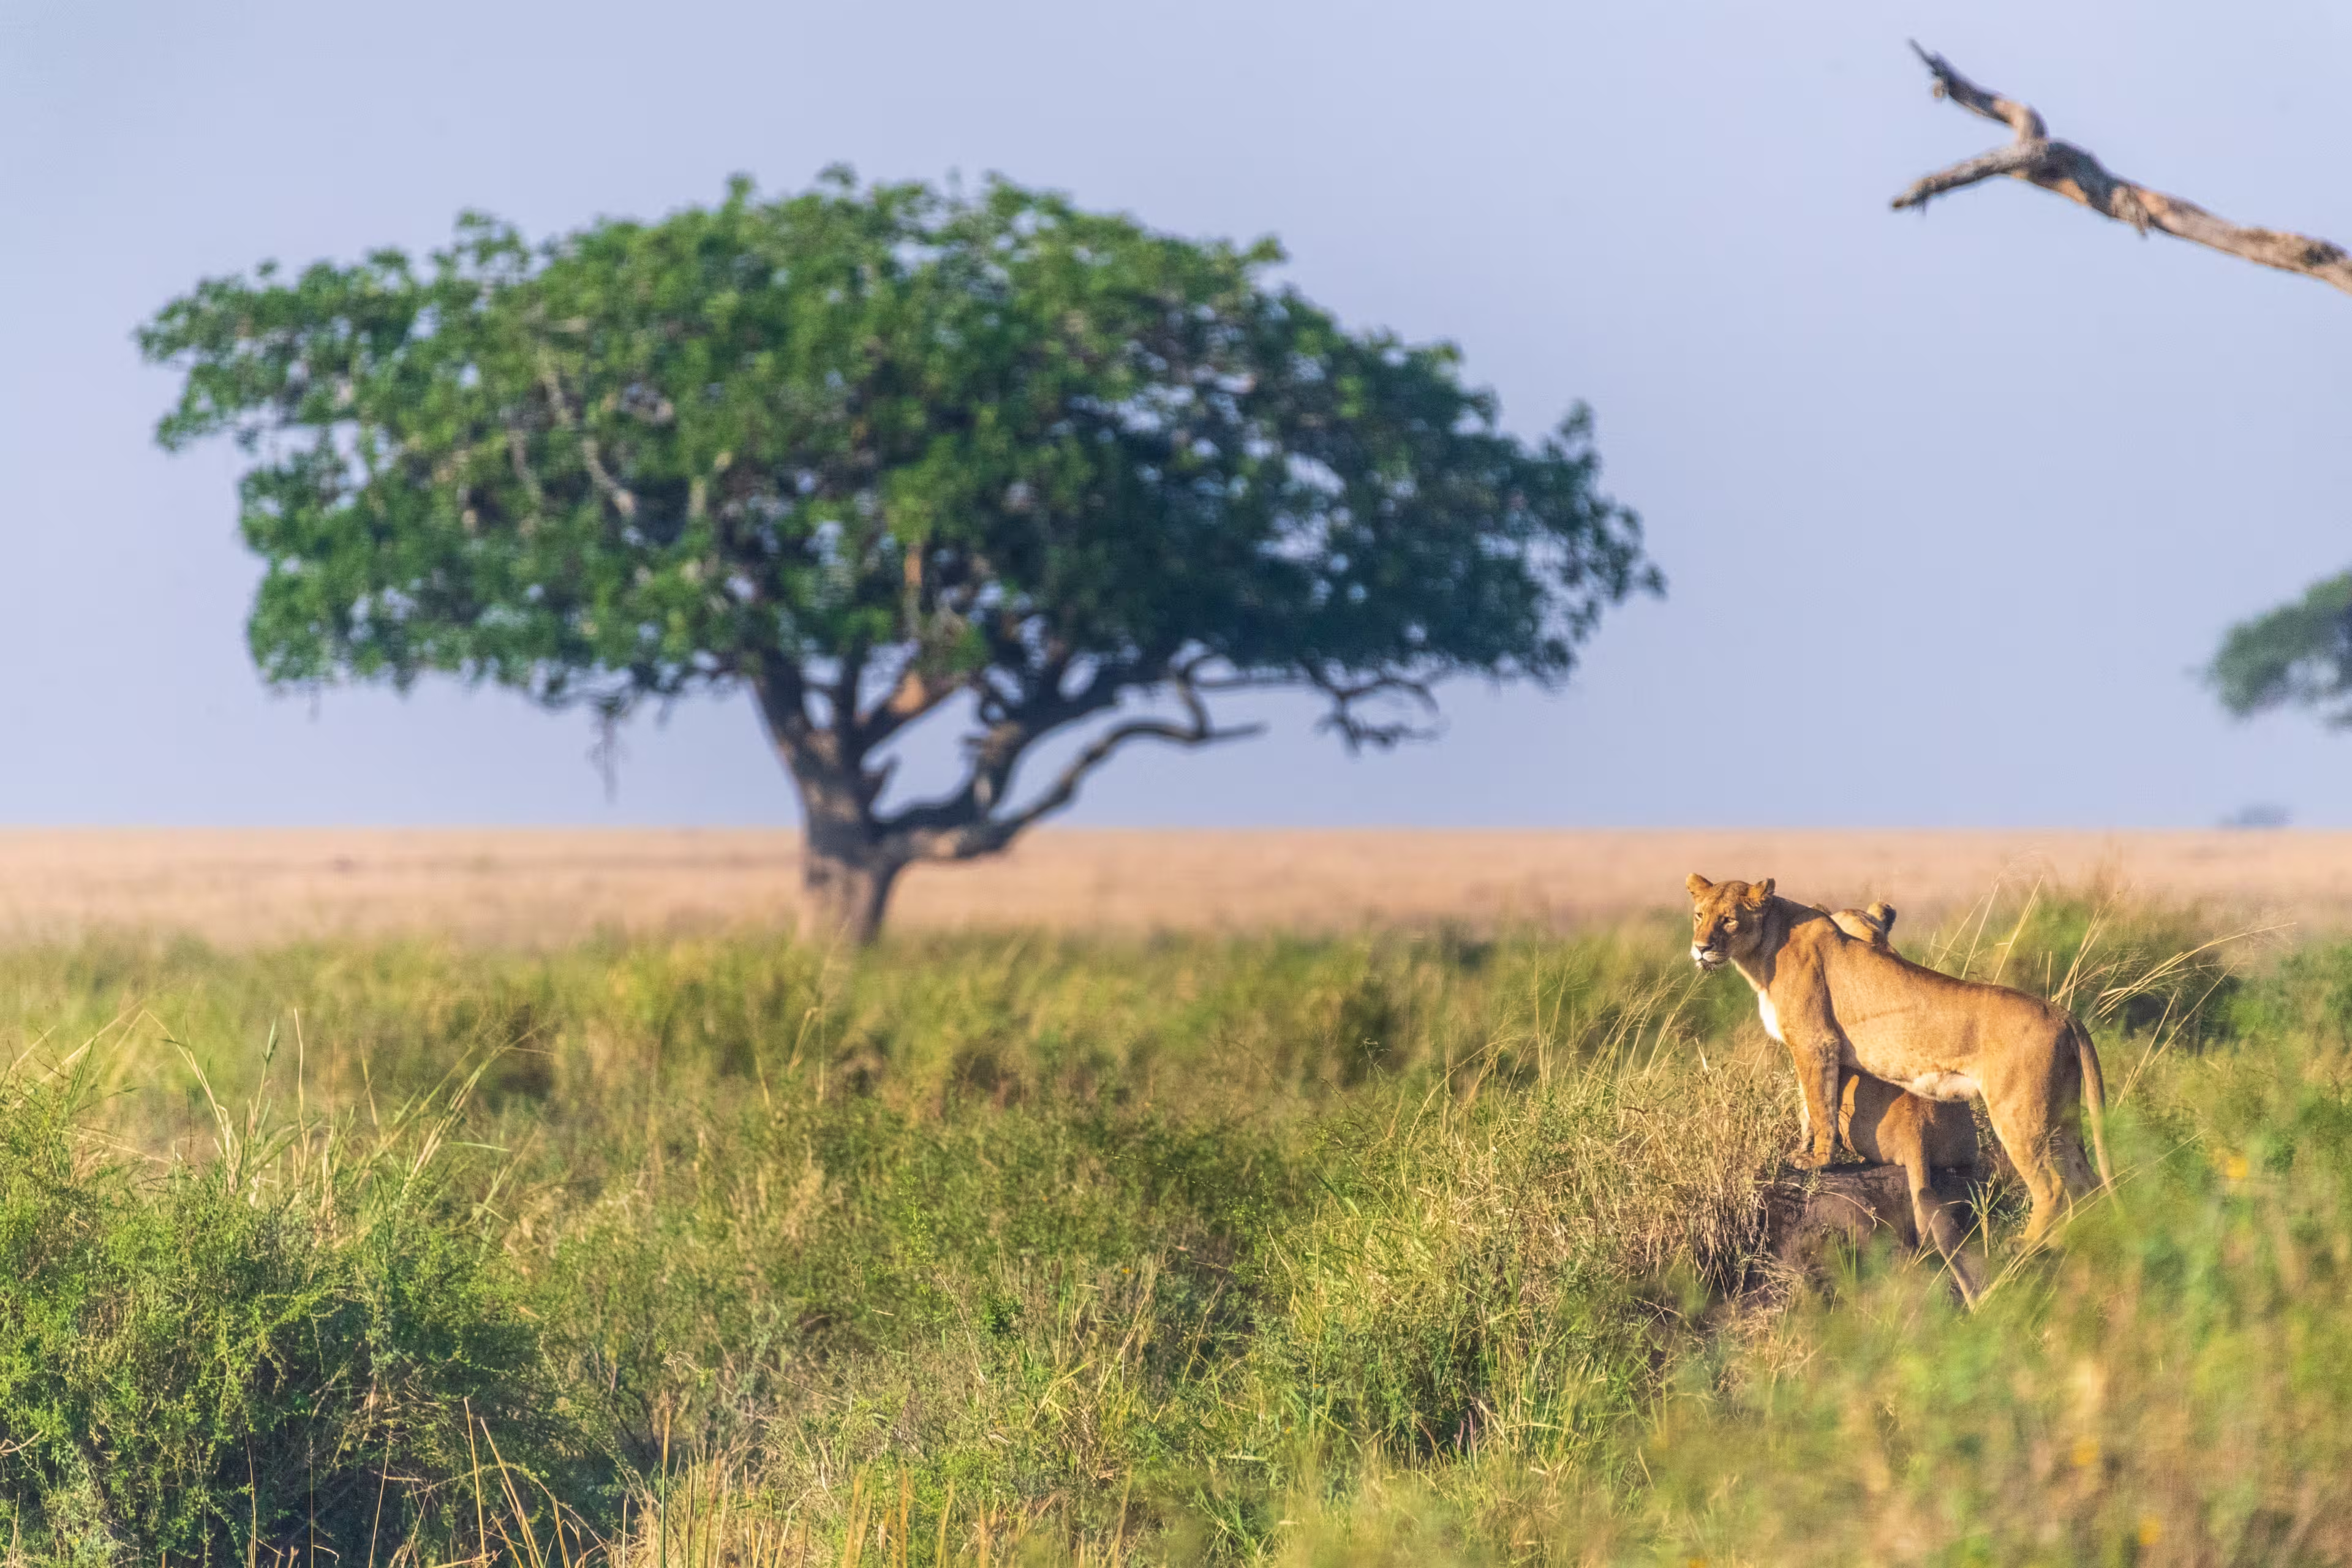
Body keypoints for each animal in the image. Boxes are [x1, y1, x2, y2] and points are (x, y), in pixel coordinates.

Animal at [1688, 873, 2112, 1247]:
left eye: (1728, 918)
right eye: (1699, 915)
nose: (1701, 947)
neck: (1764, 947)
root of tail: (2063, 1014)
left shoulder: (1816, 1042)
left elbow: (1819, 1106)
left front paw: (1819, 1161)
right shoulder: (1813, 1048)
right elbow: (1808, 1105)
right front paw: (1804, 1149)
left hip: (2019, 1114)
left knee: (2053, 1187)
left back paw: (2025, 1244)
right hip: (2060, 1118)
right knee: (2084, 1182)